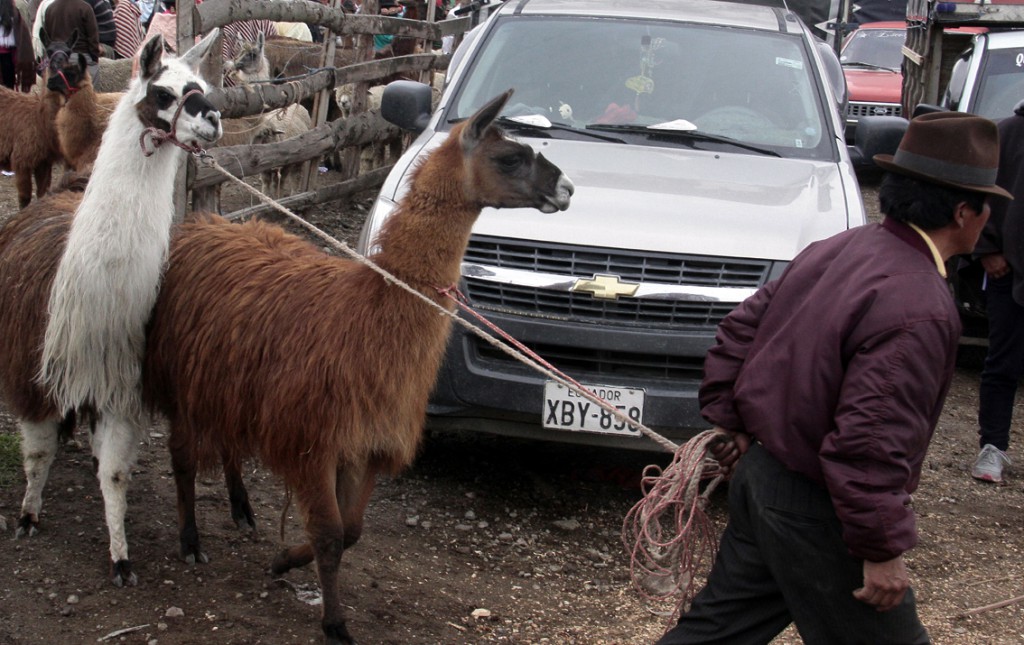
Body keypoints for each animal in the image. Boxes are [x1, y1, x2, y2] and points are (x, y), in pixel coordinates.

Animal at [0, 30, 224, 589]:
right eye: (163, 92)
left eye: (203, 87)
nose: (212, 119)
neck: (92, 294)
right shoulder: (31, 372)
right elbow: (37, 453)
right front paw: (28, 515)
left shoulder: (122, 386)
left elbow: (116, 474)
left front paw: (121, 557)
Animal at [142, 88, 577, 642]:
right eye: (510, 157)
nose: (566, 188)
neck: (366, 316)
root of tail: (202, 225)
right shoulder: (313, 437)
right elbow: (330, 534)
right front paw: (335, 622)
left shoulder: (366, 442)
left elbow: (350, 532)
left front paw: (284, 559)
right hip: (180, 370)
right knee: (182, 456)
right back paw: (191, 540)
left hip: (230, 379)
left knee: (228, 441)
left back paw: (242, 510)